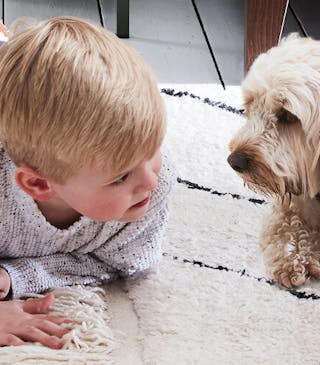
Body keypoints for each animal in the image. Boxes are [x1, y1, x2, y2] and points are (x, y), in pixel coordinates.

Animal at [228, 35, 320, 288]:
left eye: (288, 116)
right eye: (249, 106)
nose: (234, 161)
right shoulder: (294, 202)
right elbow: (287, 226)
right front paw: (294, 257)